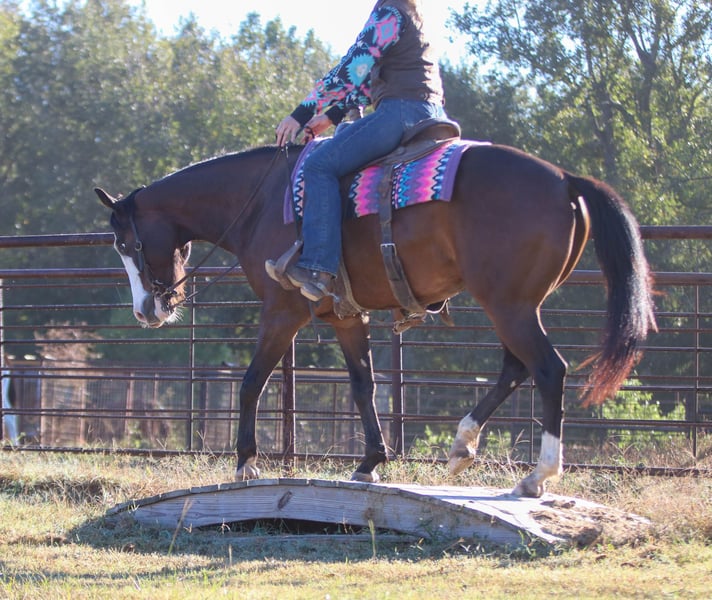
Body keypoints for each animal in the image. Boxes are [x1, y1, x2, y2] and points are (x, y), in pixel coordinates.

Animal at [96, 140, 656, 497]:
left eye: (124, 243)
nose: (146, 310)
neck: (260, 203)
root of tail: (564, 181)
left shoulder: (283, 311)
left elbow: (253, 381)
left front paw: (245, 461)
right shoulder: (346, 317)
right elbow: (363, 385)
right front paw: (370, 462)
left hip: (511, 307)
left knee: (548, 370)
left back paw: (538, 475)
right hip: (513, 305)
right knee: (516, 369)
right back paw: (462, 445)